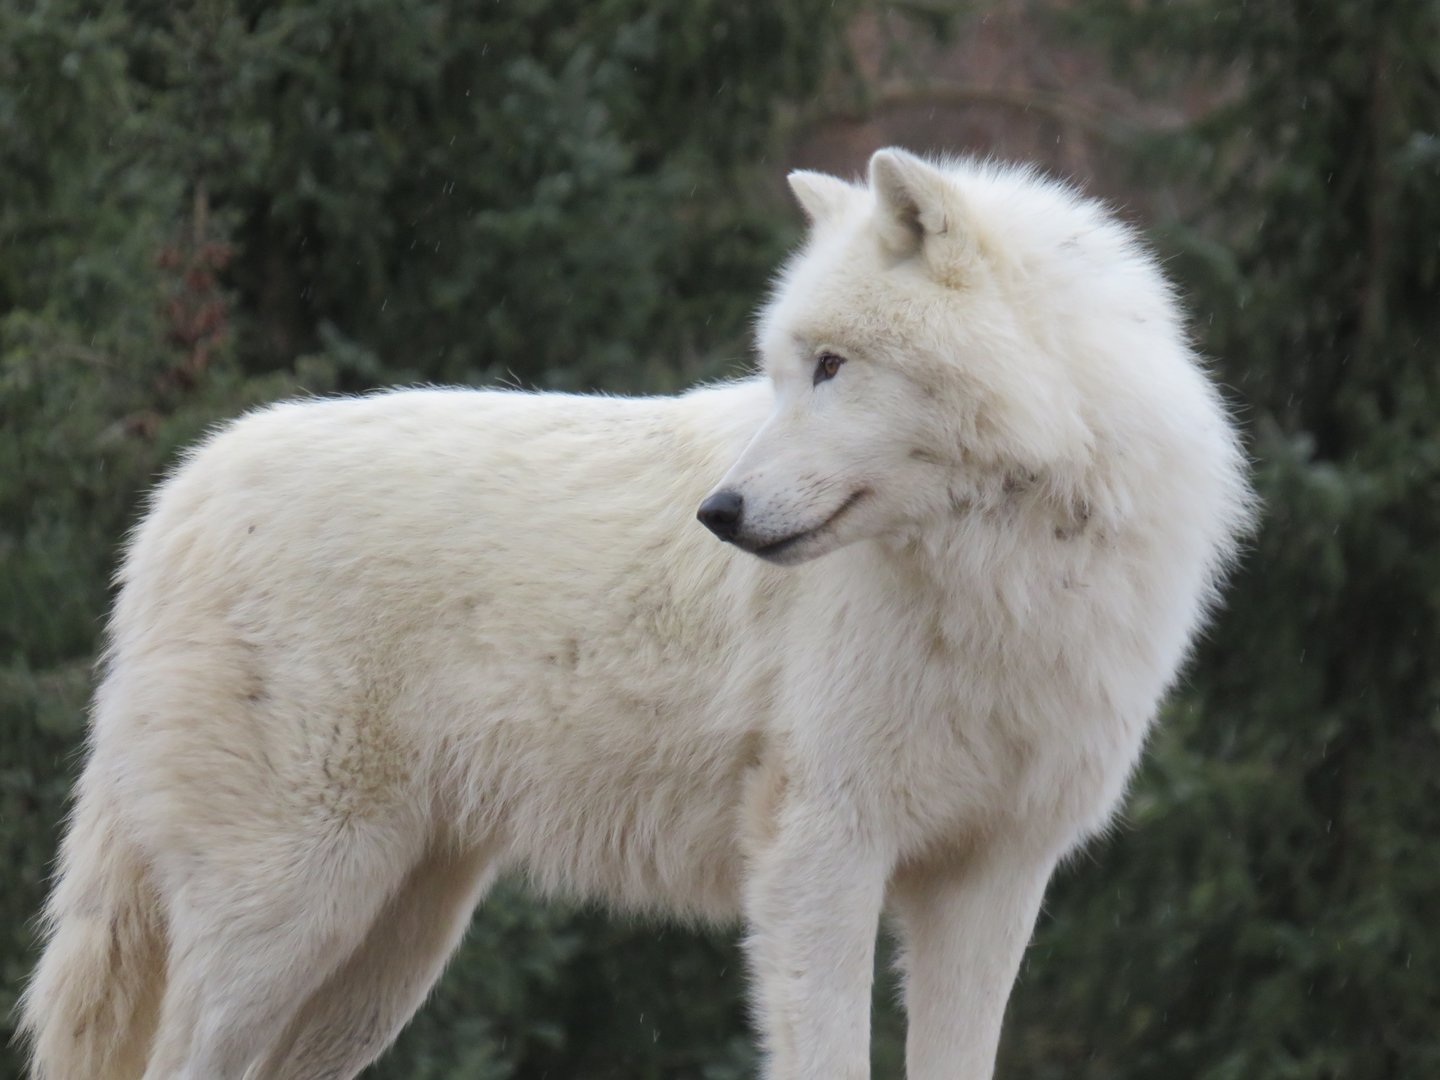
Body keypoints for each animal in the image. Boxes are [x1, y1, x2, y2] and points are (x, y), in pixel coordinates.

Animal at [21, 148, 1252, 1080]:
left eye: (833, 367)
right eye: (782, 370)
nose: (720, 512)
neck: (1002, 574)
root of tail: (185, 490)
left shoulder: (993, 880)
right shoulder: (822, 852)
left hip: (384, 953)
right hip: (291, 914)